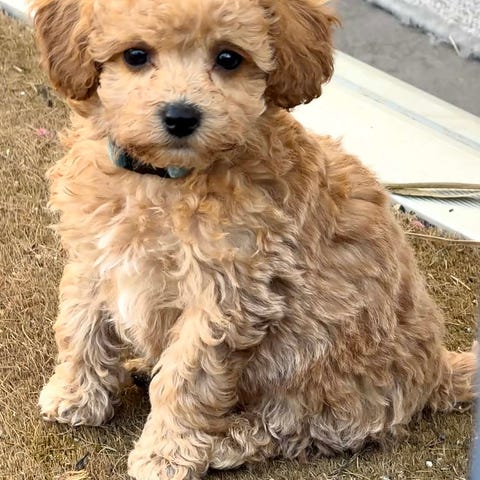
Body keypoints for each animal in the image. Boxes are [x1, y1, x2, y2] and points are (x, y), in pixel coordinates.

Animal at [31, 0, 477, 479]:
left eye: (229, 58)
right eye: (135, 55)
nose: (181, 116)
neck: (165, 180)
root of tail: (437, 370)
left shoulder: (228, 295)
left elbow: (187, 380)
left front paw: (166, 454)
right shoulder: (94, 254)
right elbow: (80, 325)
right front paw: (75, 396)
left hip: (321, 374)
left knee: (289, 428)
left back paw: (222, 442)